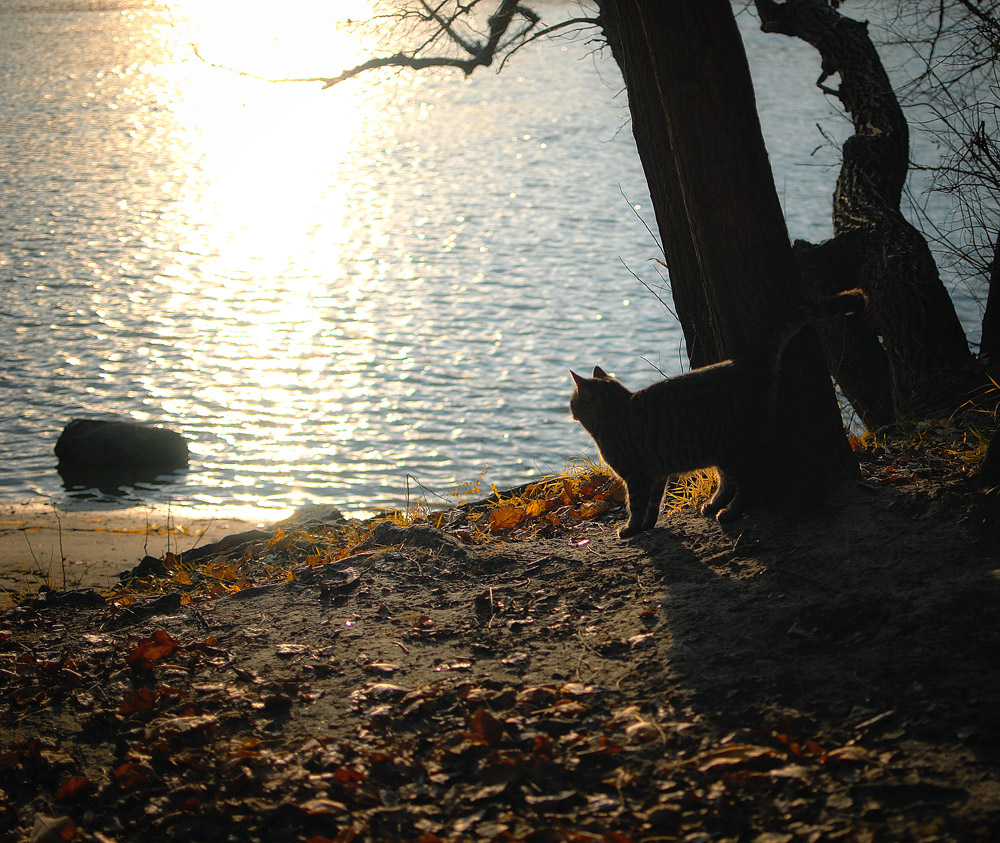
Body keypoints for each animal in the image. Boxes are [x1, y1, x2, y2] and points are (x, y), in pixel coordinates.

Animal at [572, 290, 868, 536]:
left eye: (573, 400)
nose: (570, 410)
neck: (616, 413)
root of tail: (751, 362)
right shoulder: (657, 474)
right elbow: (654, 505)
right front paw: (647, 525)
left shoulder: (638, 476)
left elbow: (636, 506)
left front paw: (631, 529)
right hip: (720, 451)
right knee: (728, 481)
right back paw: (713, 505)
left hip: (732, 447)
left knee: (749, 482)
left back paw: (729, 512)